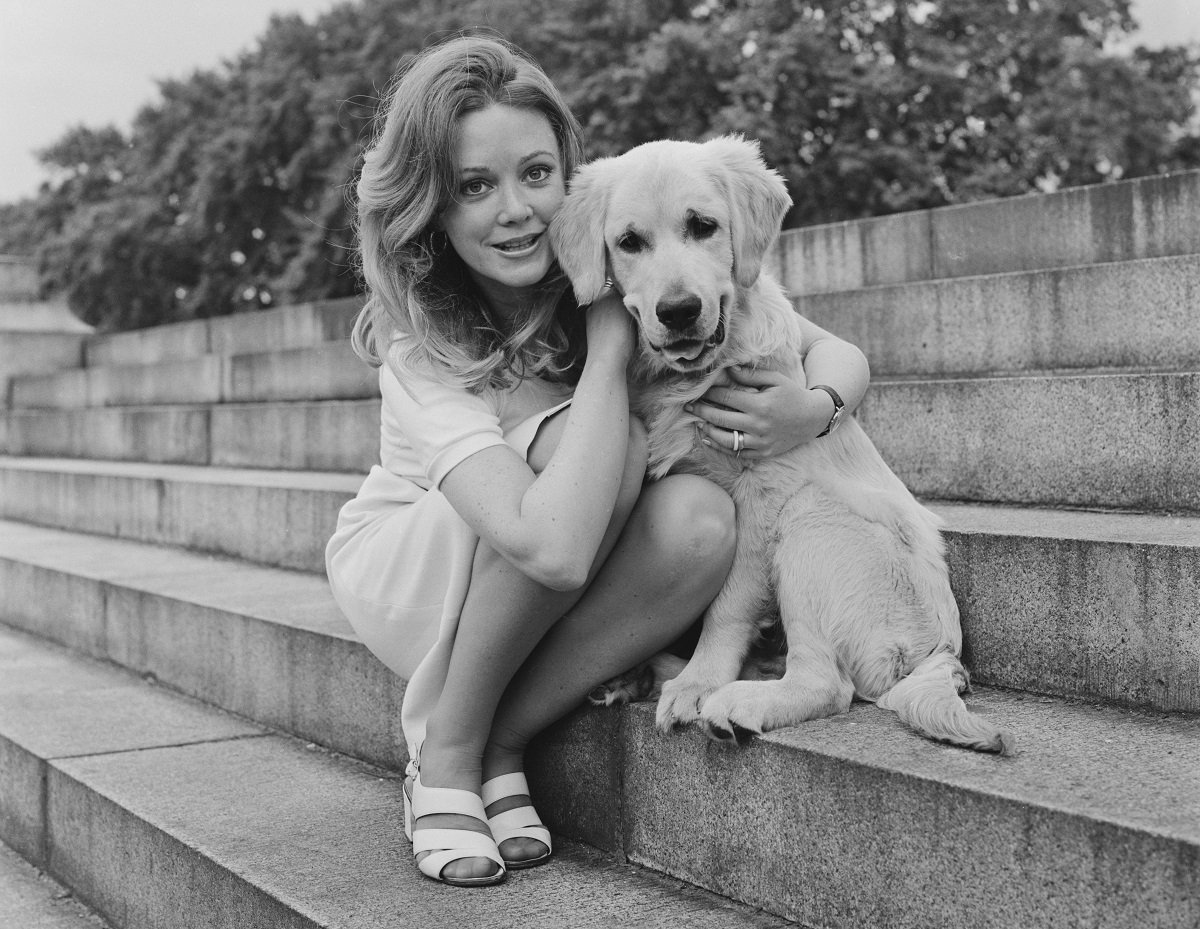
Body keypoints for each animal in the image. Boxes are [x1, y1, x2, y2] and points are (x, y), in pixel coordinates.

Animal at [549, 136, 1012, 758]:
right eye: (629, 242)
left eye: (703, 226)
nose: (679, 311)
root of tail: (942, 657)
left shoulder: (762, 498)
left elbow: (726, 607)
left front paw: (699, 684)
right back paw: (642, 673)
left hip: (812, 522)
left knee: (827, 684)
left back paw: (732, 702)